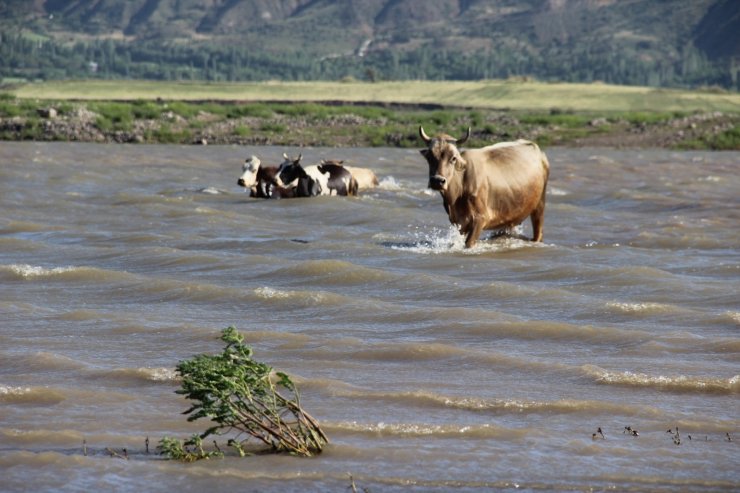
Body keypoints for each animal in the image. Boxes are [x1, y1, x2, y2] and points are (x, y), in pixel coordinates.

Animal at [416, 125, 548, 248]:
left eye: (453, 158)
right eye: (429, 157)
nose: (437, 181)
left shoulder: (480, 218)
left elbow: (468, 243)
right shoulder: (459, 222)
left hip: (539, 206)